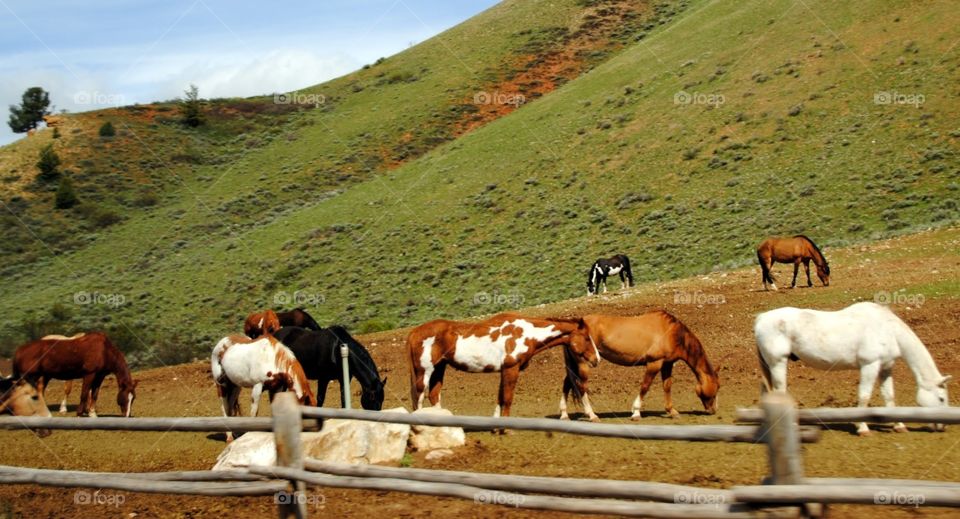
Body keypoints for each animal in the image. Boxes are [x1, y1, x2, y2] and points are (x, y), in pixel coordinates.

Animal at [211, 311, 317, 442]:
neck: (271, 358)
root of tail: (221, 343)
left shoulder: (276, 388)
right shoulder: (257, 387)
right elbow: (254, 412)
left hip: (235, 387)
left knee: (230, 406)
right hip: (221, 385)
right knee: (224, 408)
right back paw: (229, 437)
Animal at [407, 313, 598, 421]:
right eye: (586, 338)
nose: (596, 359)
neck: (526, 333)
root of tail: (414, 332)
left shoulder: (504, 371)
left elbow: (500, 397)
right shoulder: (511, 369)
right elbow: (507, 398)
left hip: (439, 368)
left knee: (434, 395)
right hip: (425, 371)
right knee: (420, 396)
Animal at [560, 312, 719, 422]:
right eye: (717, 388)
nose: (713, 410)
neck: (672, 332)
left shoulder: (667, 364)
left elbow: (667, 386)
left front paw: (672, 411)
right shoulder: (654, 363)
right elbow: (645, 386)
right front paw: (636, 412)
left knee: (567, 384)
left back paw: (564, 414)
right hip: (583, 364)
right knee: (580, 387)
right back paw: (591, 415)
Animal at [755, 302, 951, 435]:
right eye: (941, 398)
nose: (942, 426)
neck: (887, 329)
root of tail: (761, 318)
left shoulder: (886, 368)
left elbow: (889, 397)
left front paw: (899, 426)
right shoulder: (869, 365)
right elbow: (864, 396)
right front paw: (862, 427)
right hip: (778, 363)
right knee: (779, 392)